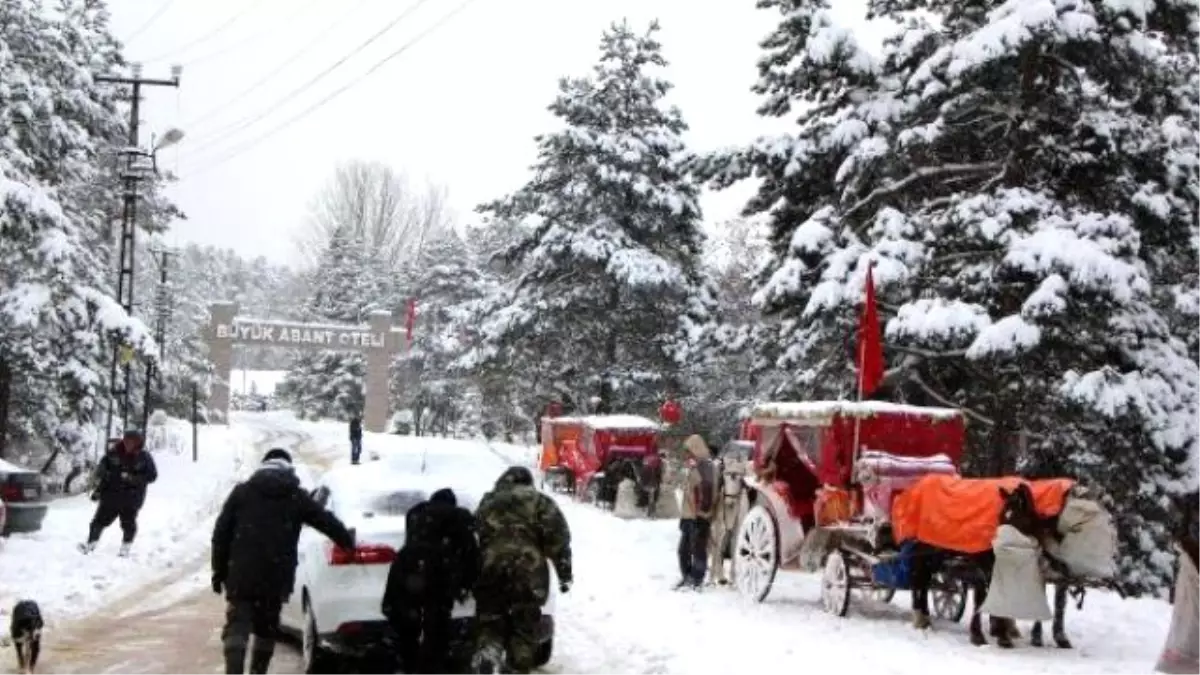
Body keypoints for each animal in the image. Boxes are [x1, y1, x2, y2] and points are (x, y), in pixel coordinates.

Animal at [907, 480, 1041, 643]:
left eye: (1016, 518)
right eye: (1001, 516)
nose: (997, 544)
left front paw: (1003, 629)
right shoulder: (983, 568)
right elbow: (981, 598)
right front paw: (982, 635)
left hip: (935, 557)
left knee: (926, 584)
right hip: (923, 556)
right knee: (919, 582)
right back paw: (920, 620)